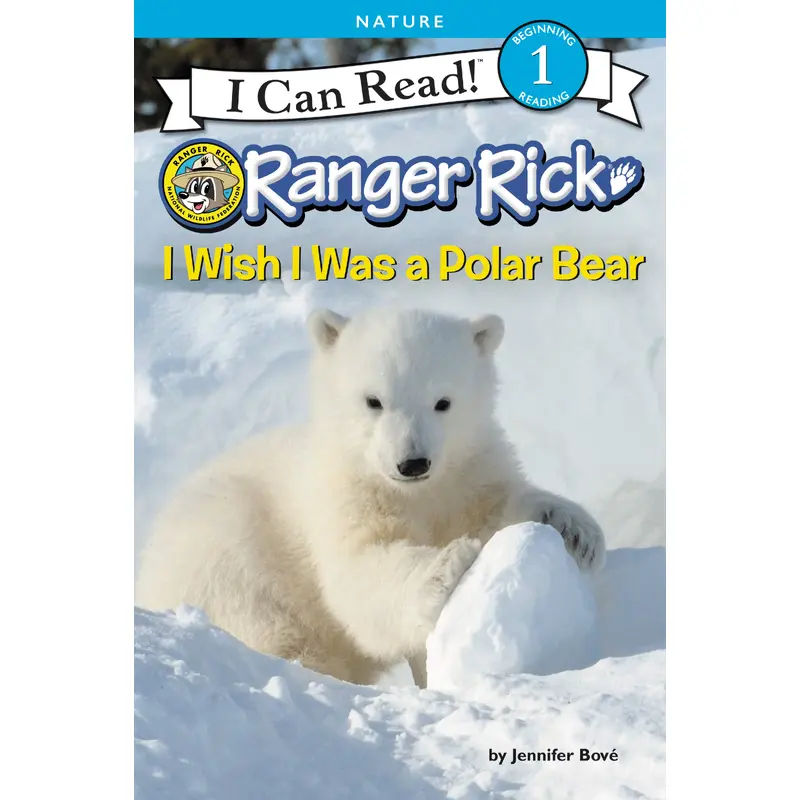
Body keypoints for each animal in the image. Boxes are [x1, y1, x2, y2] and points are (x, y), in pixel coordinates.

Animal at [135, 307, 606, 688]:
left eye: (443, 401)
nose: (412, 462)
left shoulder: (465, 473)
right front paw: (449, 563)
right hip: (221, 549)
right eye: (374, 400)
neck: (411, 493)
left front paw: (575, 530)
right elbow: (360, 571)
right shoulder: (342, 495)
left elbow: (494, 506)